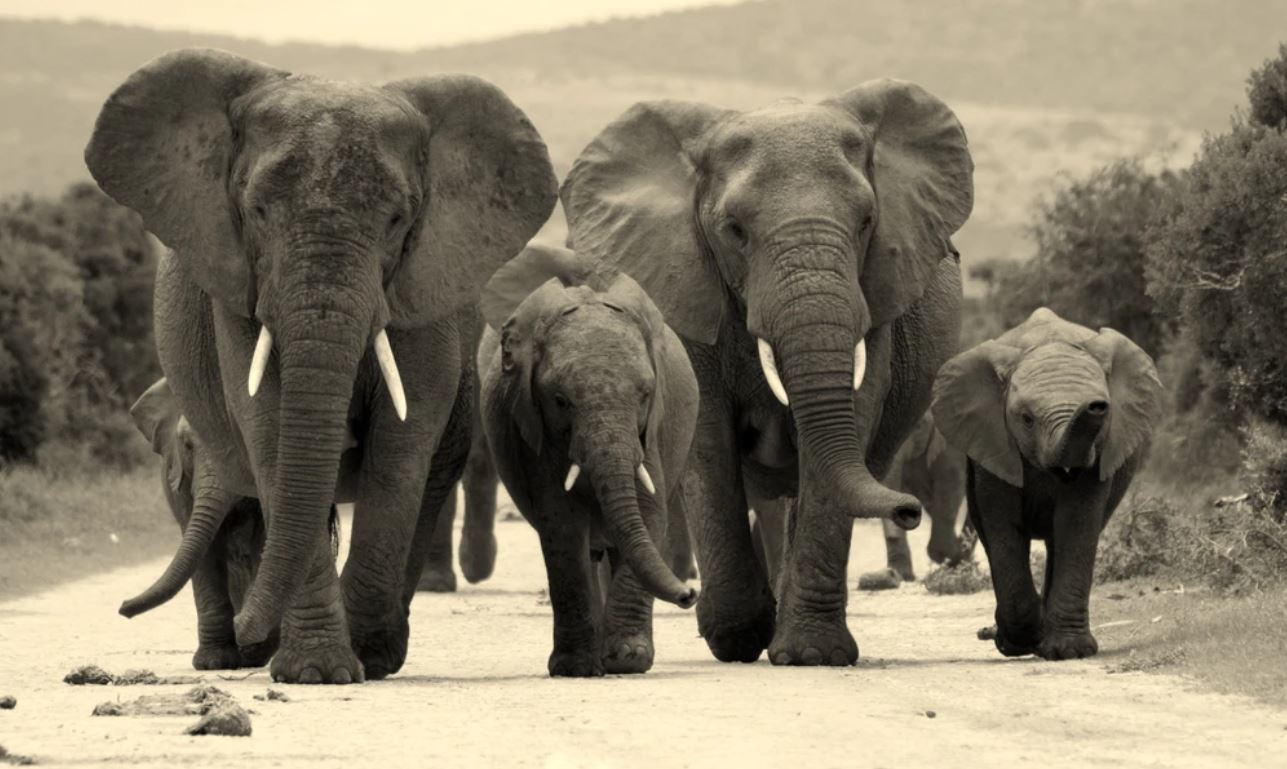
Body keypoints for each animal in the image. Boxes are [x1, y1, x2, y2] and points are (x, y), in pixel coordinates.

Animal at [85, 49, 558, 689]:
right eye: (257, 211)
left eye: (397, 220)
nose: (248, 630)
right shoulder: (239, 286)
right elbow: (269, 429)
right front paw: (315, 672)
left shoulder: (422, 288)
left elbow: (401, 445)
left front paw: (360, 657)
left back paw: (378, 651)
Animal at [478, 244, 700, 678]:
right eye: (560, 400)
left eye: (645, 394)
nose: (690, 593)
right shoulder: (534, 429)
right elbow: (561, 524)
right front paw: (576, 666)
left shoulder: (653, 432)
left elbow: (649, 513)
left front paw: (627, 660)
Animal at [558, 79, 967, 668]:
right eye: (734, 231)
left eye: (867, 222)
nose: (910, 509)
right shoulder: (684, 284)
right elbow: (707, 433)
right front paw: (737, 638)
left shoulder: (875, 299)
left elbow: (848, 420)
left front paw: (811, 654)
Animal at [926, 309, 1168, 658]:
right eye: (1026, 419)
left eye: (1105, 412)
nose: (1096, 405)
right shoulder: (994, 442)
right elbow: (1003, 526)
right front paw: (1018, 642)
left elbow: (1075, 522)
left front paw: (1068, 651)